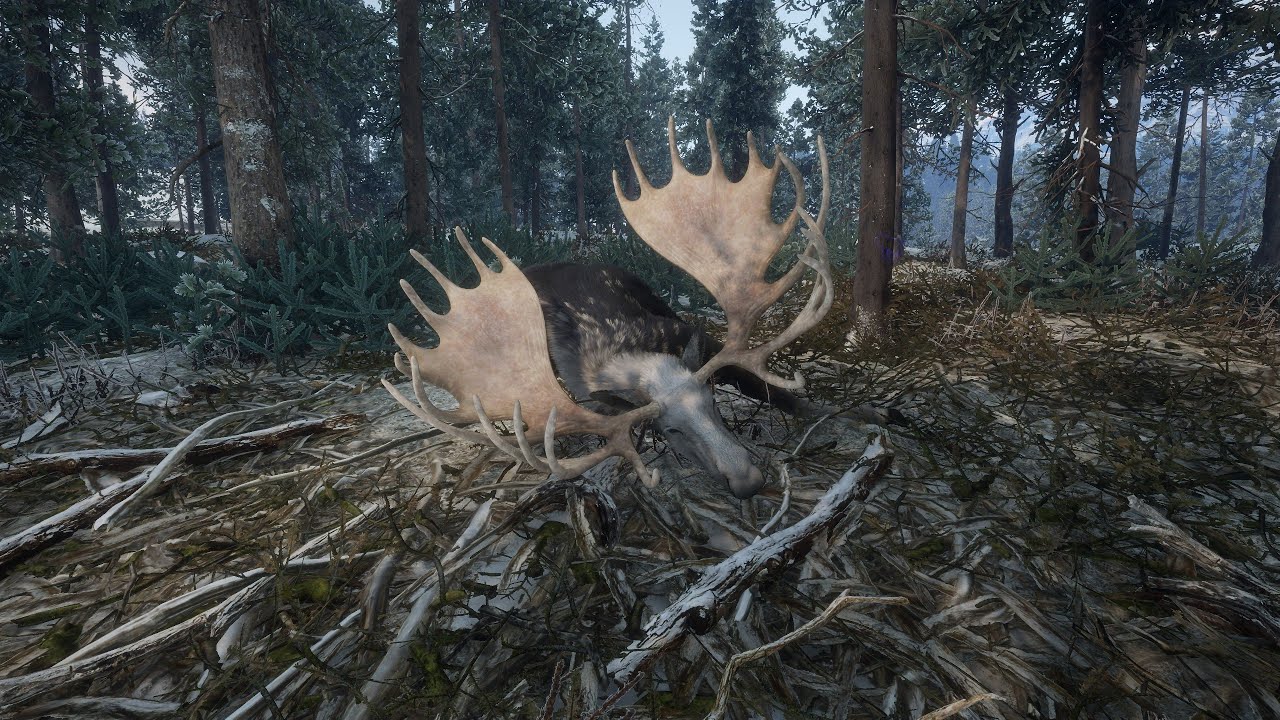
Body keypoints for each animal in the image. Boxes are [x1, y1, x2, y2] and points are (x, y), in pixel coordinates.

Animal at [382, 118, 831, 499]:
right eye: (669, 429)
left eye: (712, 405)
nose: (748, 481)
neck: (627, 352)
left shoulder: (694, 337)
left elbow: (759, 383)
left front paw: (817, 411)